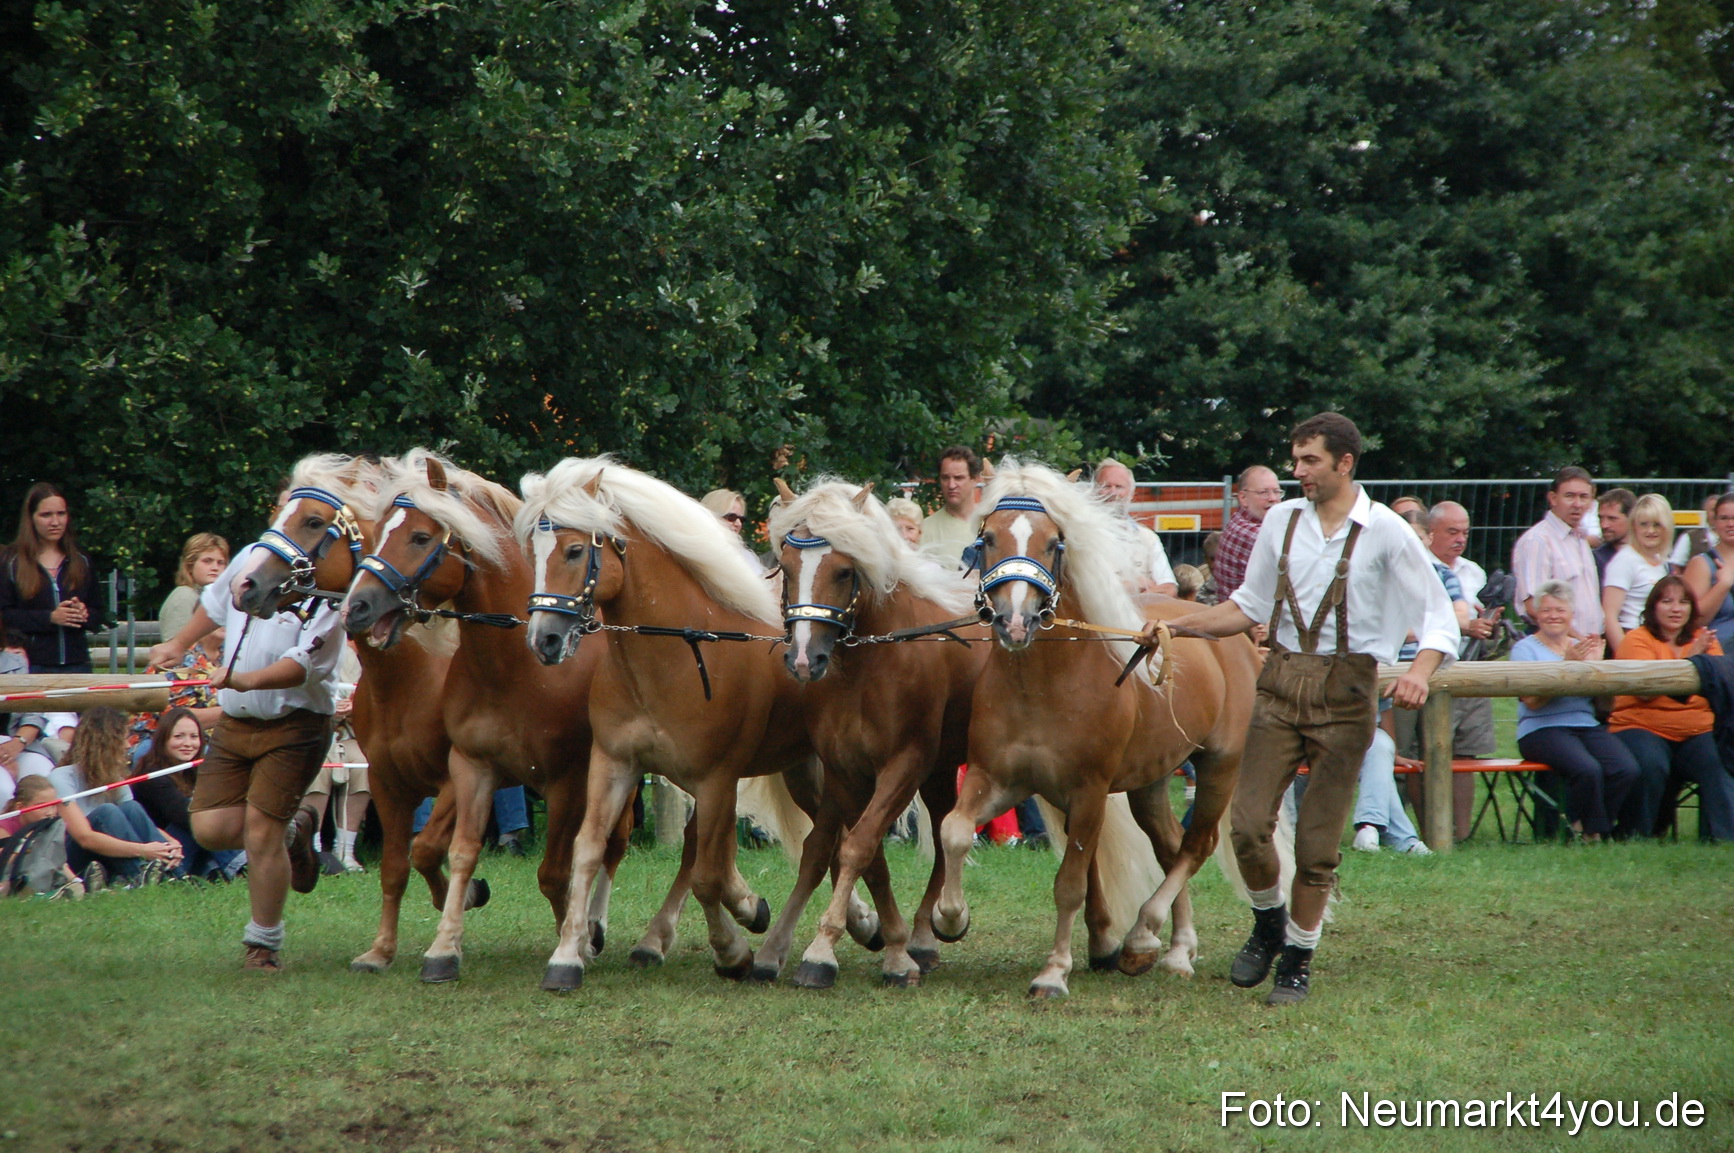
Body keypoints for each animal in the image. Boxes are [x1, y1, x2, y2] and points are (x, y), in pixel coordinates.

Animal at [227, 453, 484, 973]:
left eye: (312, 521)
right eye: (276, 515)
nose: (245, 584)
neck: (416, 678)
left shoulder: (455, 779)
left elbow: (427, 849)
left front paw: (461, 902)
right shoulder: (387, 781)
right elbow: (397, 866)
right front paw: (380, 951)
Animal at [339, 449, 643, 983]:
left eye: (420, 537)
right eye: (374, 537)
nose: (357, 606)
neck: (514, 667)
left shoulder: (565, 782)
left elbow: (553, 873)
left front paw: (573, 944)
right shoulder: (454, 770)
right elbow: (444, 855)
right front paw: (430, 949)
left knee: (615, 843)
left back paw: (596, 926)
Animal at [518, 457, 874, 993]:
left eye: (576, 550)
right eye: (532, 552)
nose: (544, 640)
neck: (676, 654)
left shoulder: (716, 779)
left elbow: (708, 874)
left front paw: (733, 951)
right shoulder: (614, 765)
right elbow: (589, 851)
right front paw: (567, 956)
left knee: (818, 843)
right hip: (796, 772)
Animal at [931, 458, 1264, 999]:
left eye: (1053, 542)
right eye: (988, 539)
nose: (1015, 622)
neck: (1042, 685)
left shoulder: (1087, 793)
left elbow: (1070, 883)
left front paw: (1054, 972)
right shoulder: (996, 779)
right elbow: (956, 830)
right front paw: (951, 919)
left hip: (1219, 765)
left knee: (1197, 846)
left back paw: (1144, 936)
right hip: (1151, 782)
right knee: (1171, 846)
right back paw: (1175, 949)